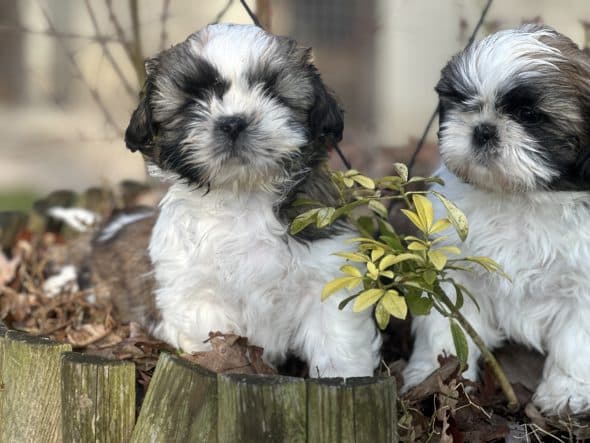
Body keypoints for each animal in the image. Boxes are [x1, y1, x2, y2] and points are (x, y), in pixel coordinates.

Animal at [93, 24, 380, 378]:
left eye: (270, 90)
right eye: (195, 98)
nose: (232, 122)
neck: (242, 196)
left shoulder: (325, 275)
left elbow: (337, 342)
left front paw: (344, 379)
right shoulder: (198, 295)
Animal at [404, 25, 590, 416]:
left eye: (529, 115)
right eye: (464, 102)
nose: (484, 129)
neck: (521, 199)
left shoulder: (583, 285)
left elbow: (577, 340)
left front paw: (568, 391)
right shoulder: (454, 273)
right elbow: (447, 326)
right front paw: (434, 374)